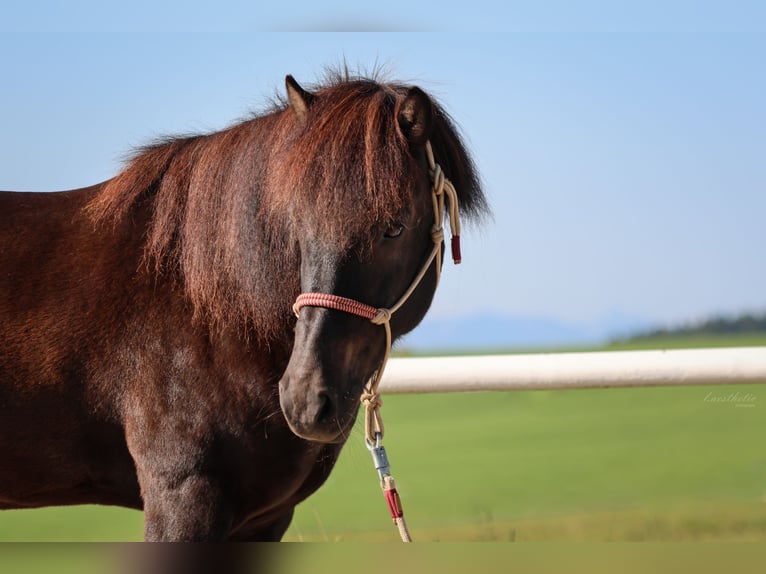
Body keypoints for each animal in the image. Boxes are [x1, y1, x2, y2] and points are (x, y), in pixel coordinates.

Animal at [1, 70, 486, 544]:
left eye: (395, 228)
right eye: (297, 223)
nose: (306, 399)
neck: (212, 311)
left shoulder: (263, 521)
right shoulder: (182, 497)